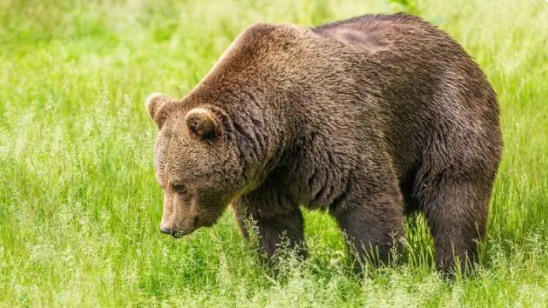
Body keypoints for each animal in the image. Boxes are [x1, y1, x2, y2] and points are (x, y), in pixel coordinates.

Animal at [144, 13, 500, 274]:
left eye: (179, 185)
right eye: (162, 182)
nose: (168, 227)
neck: (282, 125)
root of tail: (456, 44)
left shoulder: (331, 127)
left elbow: (366, 198)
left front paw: (374, 268)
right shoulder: (266, 174)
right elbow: (271, 223)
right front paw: (284, 270)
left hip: (444, 116)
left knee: (454, 194)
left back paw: (454, 267)